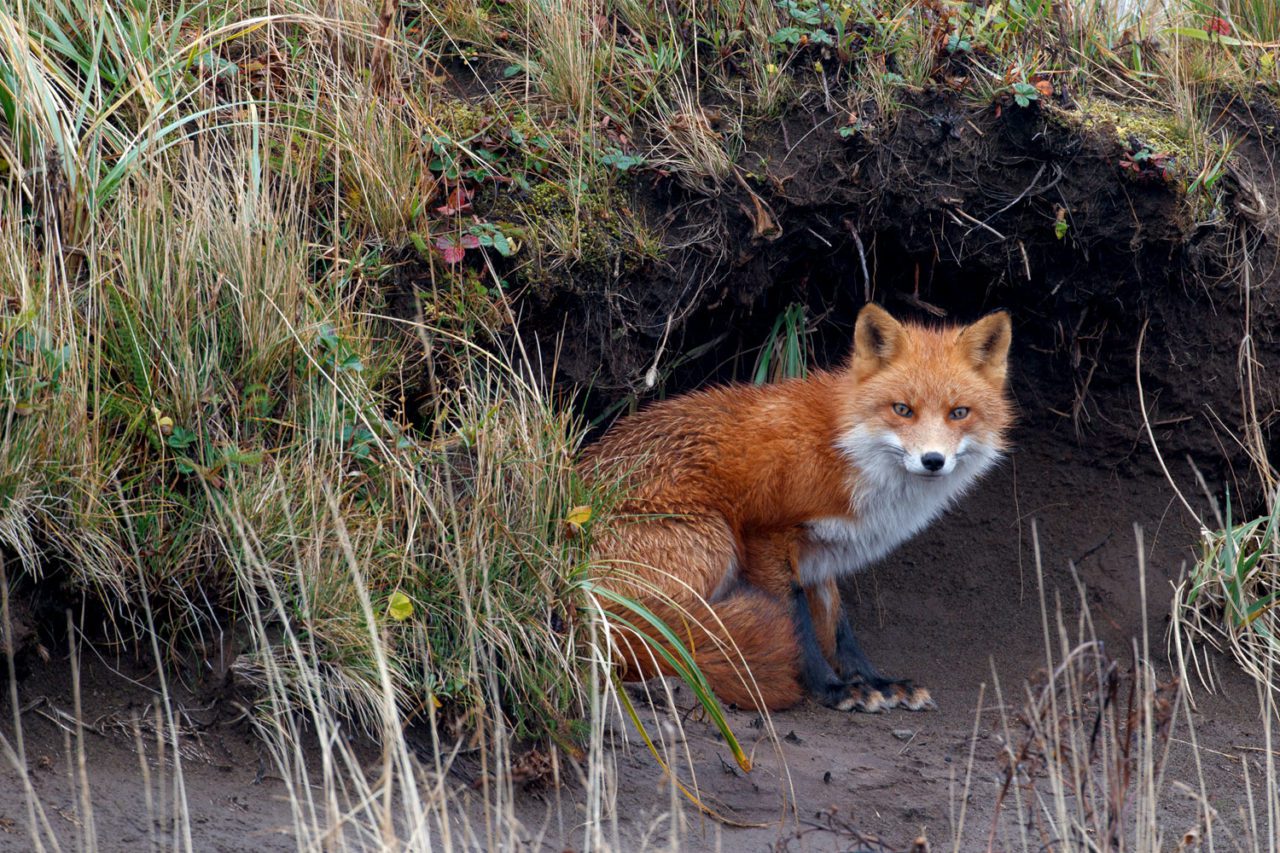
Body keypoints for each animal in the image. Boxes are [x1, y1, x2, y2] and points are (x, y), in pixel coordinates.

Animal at [580, 303, 1014, 713]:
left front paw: (875, 682)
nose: (933, 460)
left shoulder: (820, 555)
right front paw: (832, 690)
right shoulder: (765, 534)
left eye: (959, 413)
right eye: (902, 409)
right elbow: (798, 625)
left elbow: (839, 630)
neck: (844, 449)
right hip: (714, 541)